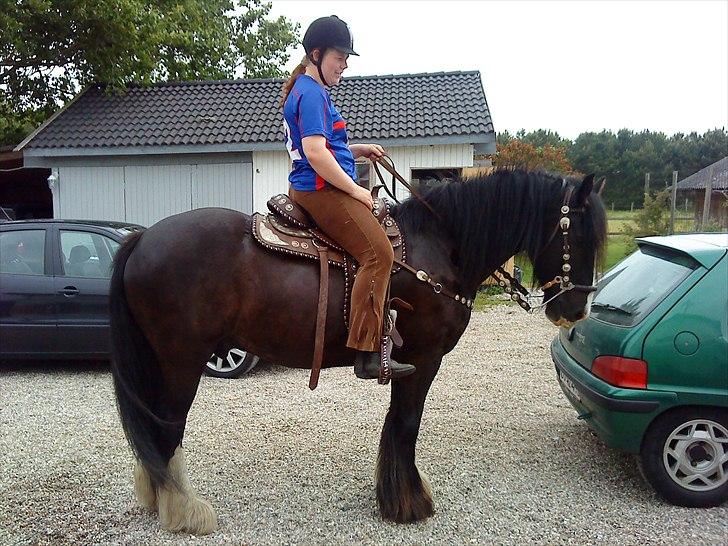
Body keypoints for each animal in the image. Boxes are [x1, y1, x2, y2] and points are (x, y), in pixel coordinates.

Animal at [108, 169, 608, 532]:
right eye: (579, 235)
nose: (576, 310)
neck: (440, 248)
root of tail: (142, 238)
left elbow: (398, 424)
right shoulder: (423, 360)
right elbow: (406, 425)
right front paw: (408, 503)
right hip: (181, 362)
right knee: (167, 427)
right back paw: (184, 511)